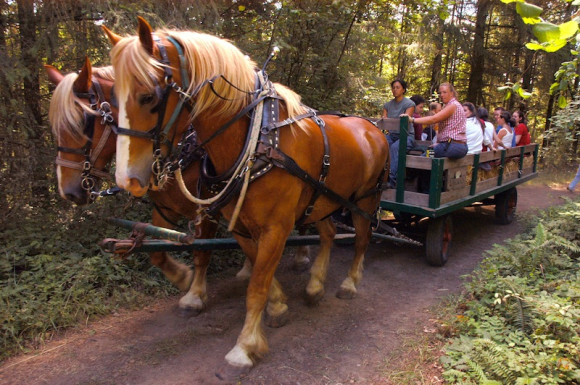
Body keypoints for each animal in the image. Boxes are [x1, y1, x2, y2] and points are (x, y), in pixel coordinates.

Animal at [105, 18, 390, 378]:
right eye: (113, 98)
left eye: (148, 96)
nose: (126, 178)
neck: (256, 139)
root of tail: (375, 128)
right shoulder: (240, 224)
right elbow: (258, 271)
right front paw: (278, 306)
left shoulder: (276, 228)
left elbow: (256, 287)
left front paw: (245, 346)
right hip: (323, 200)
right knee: (326, 234)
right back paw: (314, 286)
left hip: (365, 200)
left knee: (362, 239)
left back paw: (350, 283)